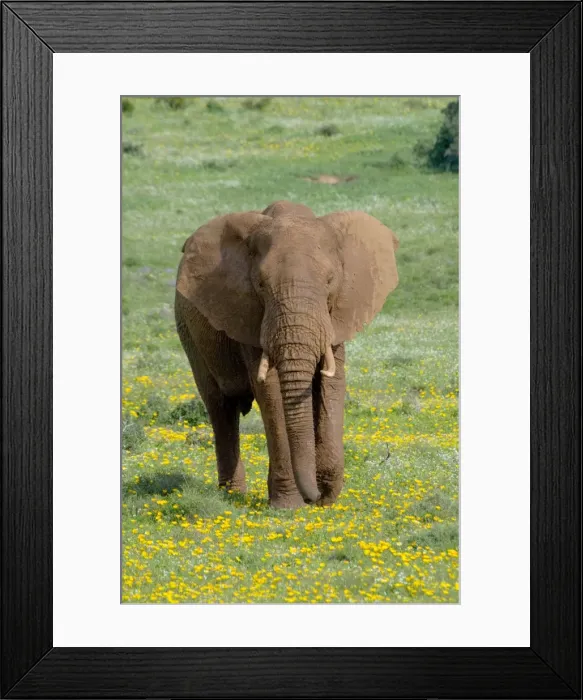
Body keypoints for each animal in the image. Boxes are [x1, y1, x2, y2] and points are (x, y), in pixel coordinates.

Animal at [175, 201, 399, 509]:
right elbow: (270, 390)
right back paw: (232, 496)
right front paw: (288, 507)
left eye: (330, 281)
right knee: (220, 407)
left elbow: (332, 382)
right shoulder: (248, 316)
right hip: (189, 334)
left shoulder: (338, 316)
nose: (317, 497)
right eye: (260, 284)